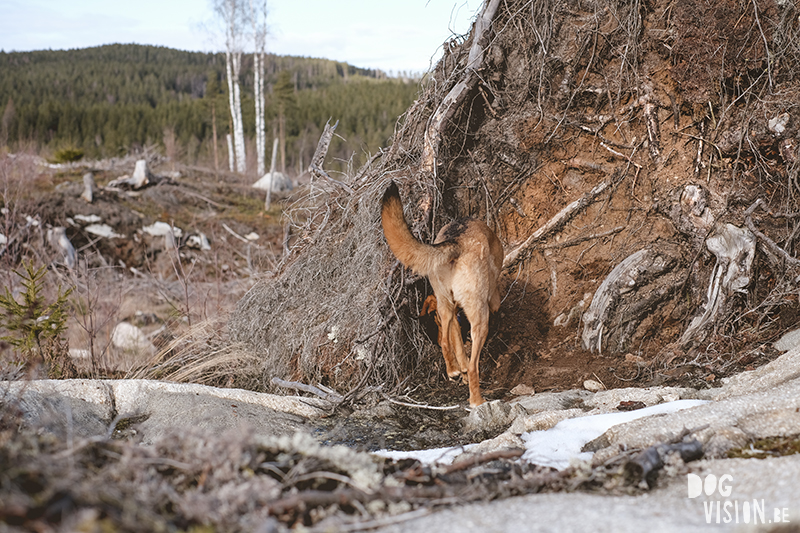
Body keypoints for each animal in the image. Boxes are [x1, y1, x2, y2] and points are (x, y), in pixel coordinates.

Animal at [380, 181, 504, 406]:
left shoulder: (450, 314)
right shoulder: (491, 296)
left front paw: (459, 370)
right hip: (479, 316)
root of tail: (455, 244)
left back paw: (453, 370)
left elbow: (456, 344)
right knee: (473, 366)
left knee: (446, 343)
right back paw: (477, 400)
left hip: (444, 304)